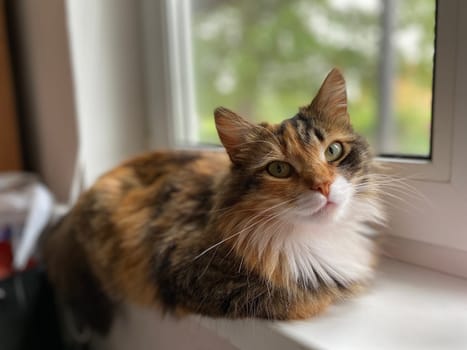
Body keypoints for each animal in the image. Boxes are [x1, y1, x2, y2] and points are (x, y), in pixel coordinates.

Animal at [43, 67, 384, 334]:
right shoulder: (189, 272)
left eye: (333, 151)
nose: (323, 186)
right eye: (279, 169)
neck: (320, 236)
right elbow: (310, 295)